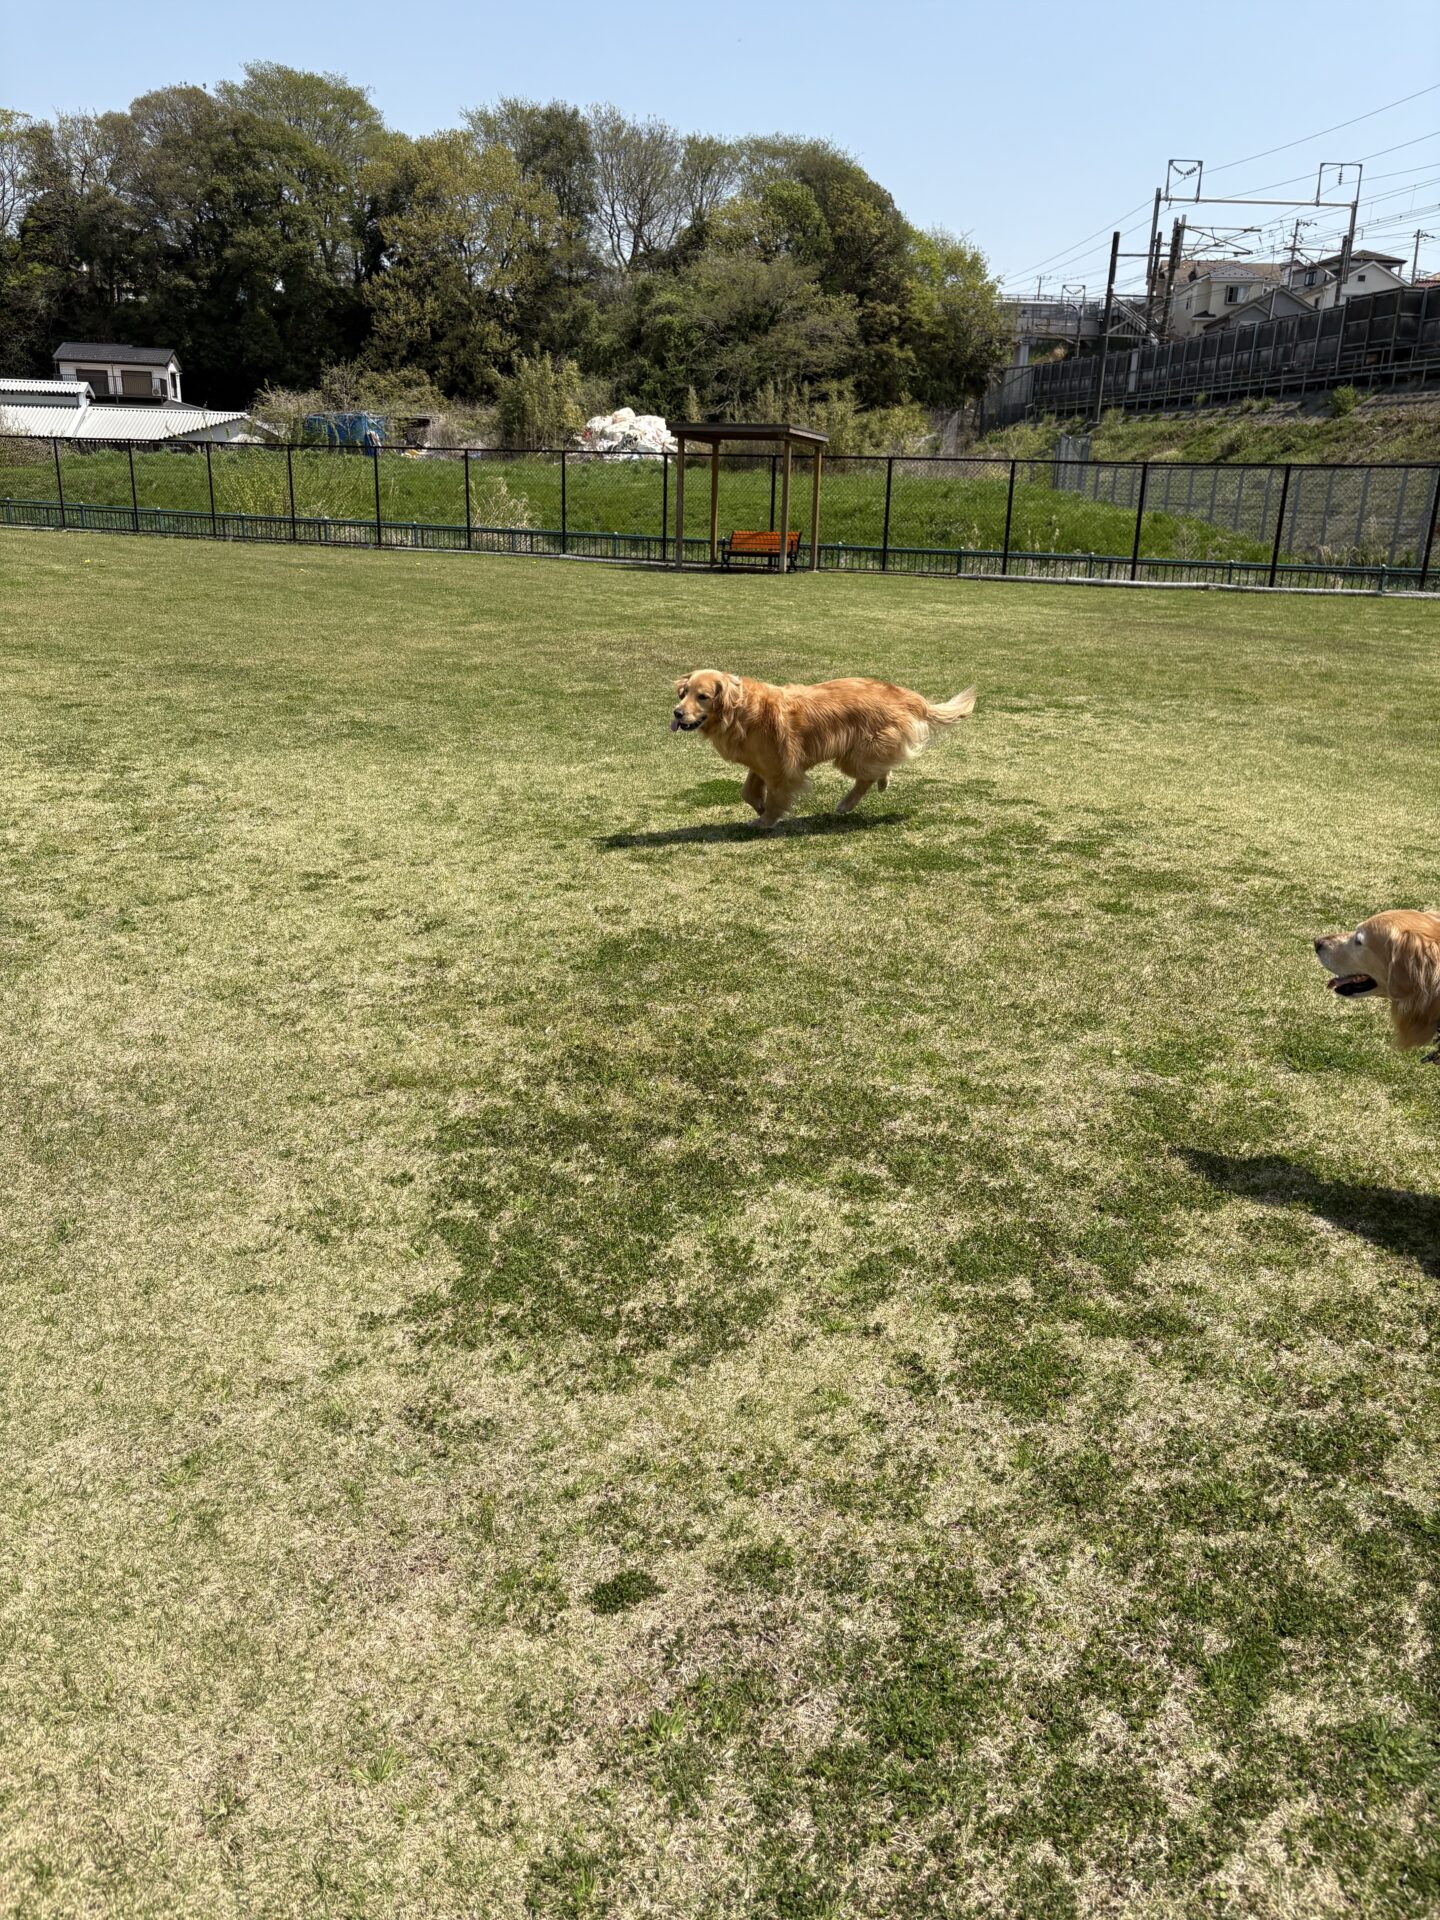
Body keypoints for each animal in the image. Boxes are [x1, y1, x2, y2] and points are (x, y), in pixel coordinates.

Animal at [670, 670, 976, 827]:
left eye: (703, 696)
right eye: (684, 693)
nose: (676, 713)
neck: (740, 711)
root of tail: (905, 695)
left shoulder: (782, 769)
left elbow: (776, 798)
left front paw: (766, 820)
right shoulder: (761, 764)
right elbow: (747, 791)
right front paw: (759, 807)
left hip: (853, 755)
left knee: (868, 775)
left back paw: (848, 802)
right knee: (879, 768)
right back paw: (881, 782)